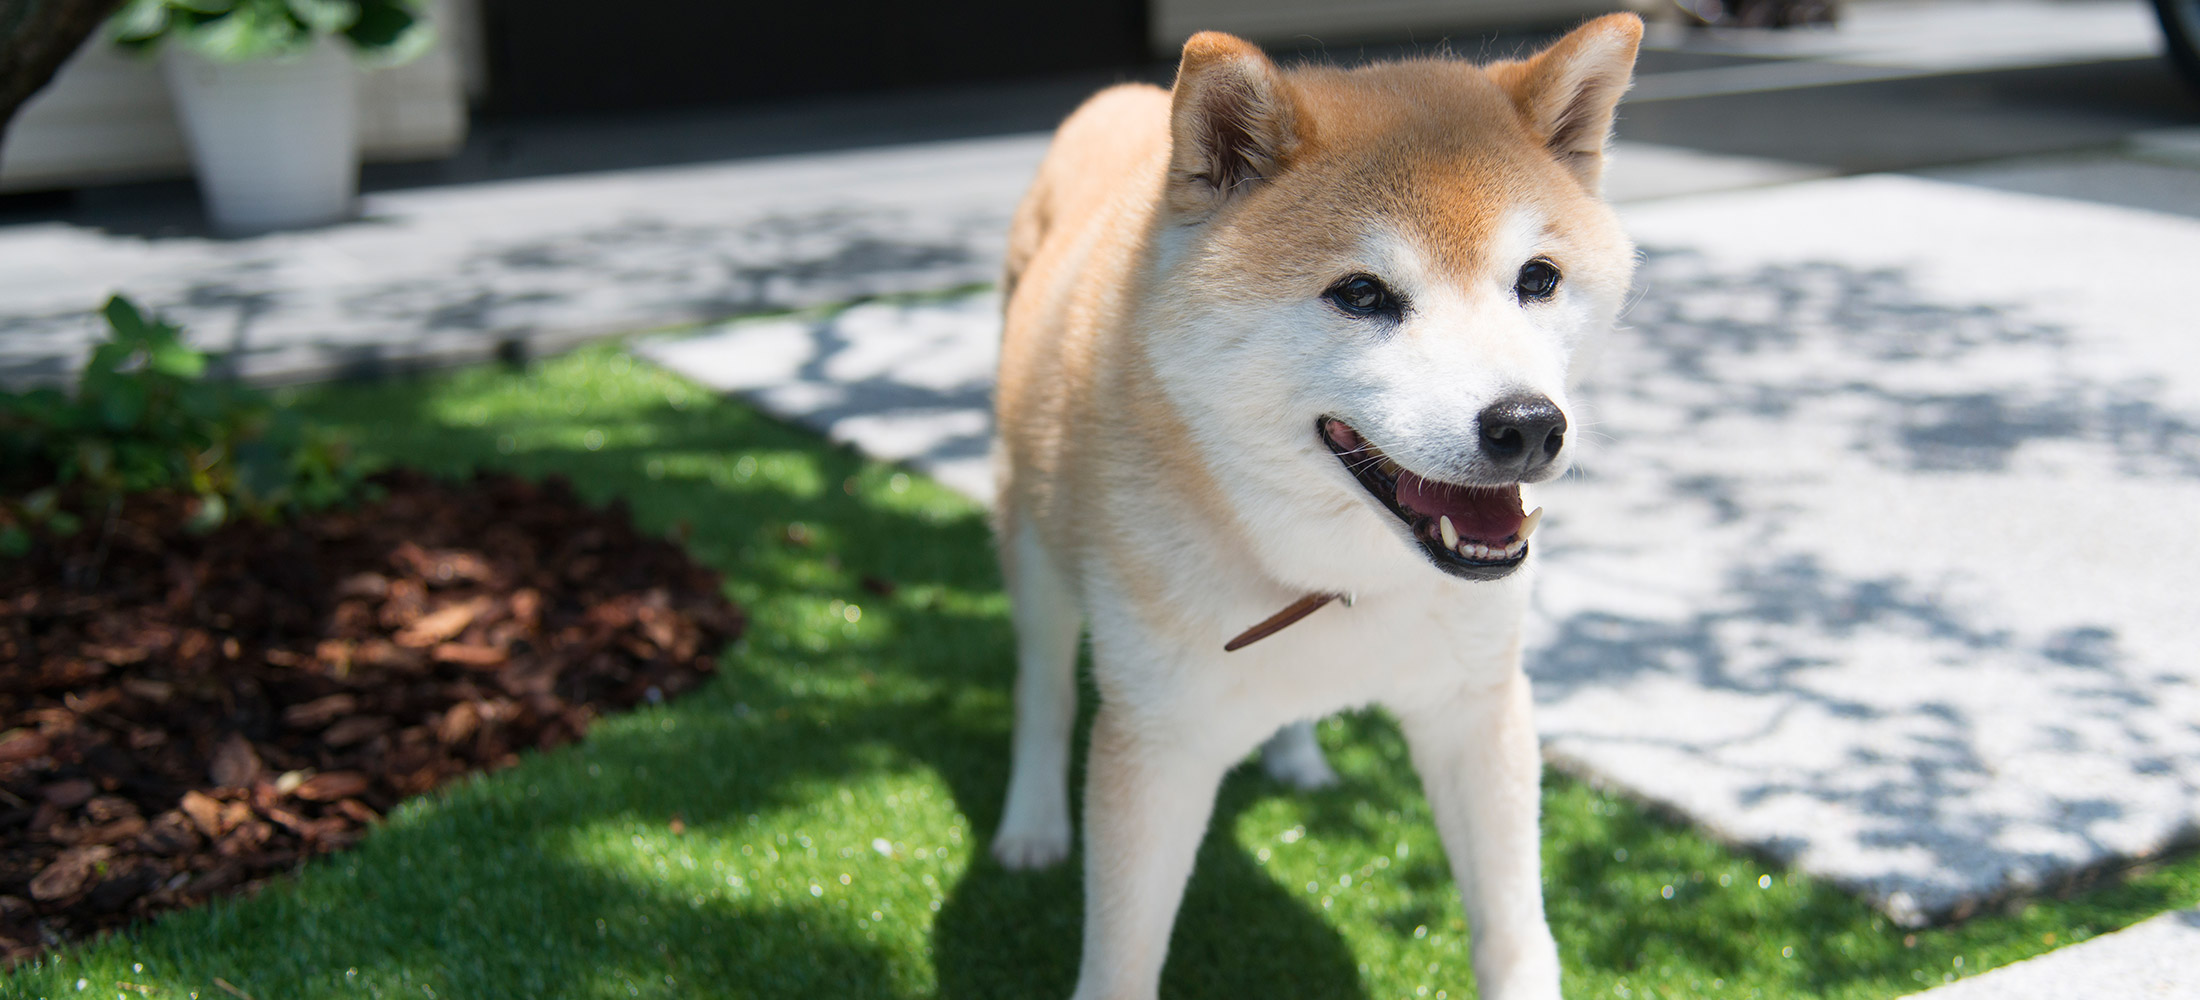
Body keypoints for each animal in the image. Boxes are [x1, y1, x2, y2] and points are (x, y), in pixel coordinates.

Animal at [990, 13, 1645, 993]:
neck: (1340, 582)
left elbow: (1515, 932)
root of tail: (1125, 98)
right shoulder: (1157, 743)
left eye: (1537, 278)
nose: (1529, 424)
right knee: (1042, 692)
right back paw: (1031, 823)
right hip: (1032, 539)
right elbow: (1123, 959)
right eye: (1362, 294)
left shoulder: (1476, 708)